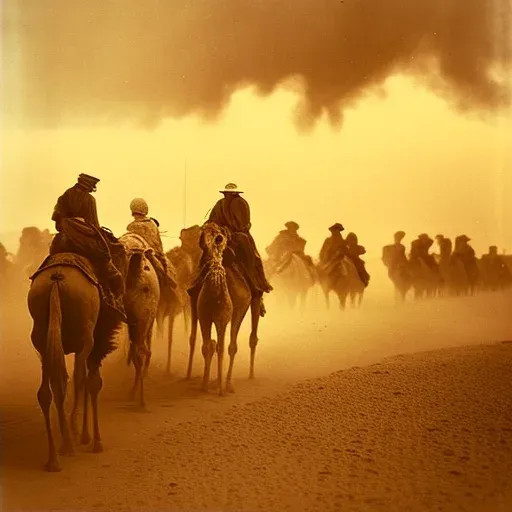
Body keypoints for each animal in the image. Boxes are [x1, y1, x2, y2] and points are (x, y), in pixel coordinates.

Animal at [27, 252, 123, 472]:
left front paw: (78, 433)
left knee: (48, 390)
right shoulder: (90, 344)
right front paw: (92, 438)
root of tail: (56, 279)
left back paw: (55, 456)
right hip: (84, 337)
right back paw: (70, 440)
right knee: (78, 379)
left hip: (42, 339)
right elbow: (90, 382)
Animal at [187, 223, 262, 396]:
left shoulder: (229, 314)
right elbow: (208, 346)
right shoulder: (206, 316)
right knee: (200, 341)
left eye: (218, 237)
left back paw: (248, 375)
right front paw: (206, 385)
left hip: (245, 305)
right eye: (202, 239)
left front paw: (225, 386)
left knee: (250, 338)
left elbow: (228, 347)